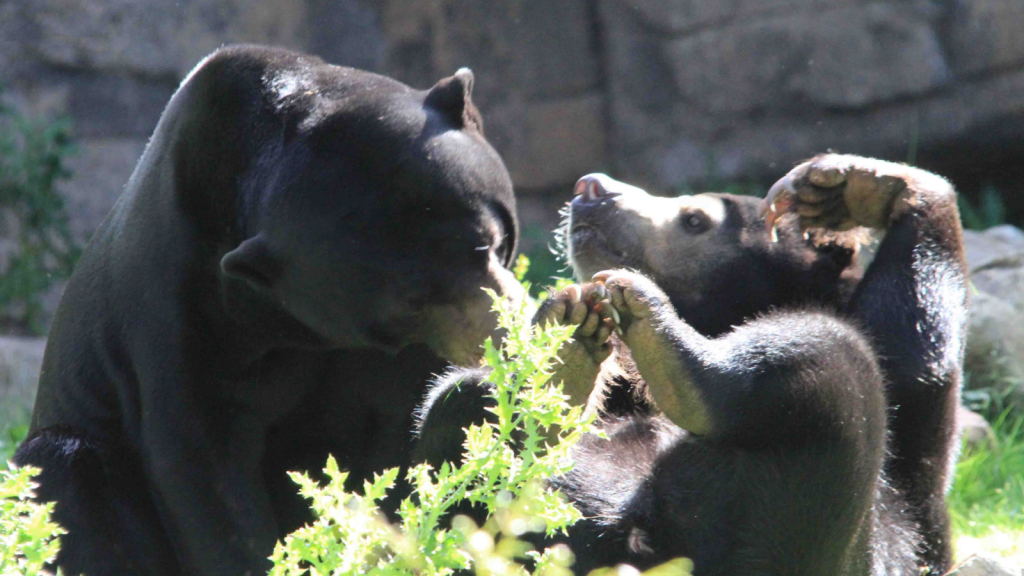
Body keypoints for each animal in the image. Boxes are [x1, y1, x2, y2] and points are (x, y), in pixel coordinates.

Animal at [14, 44, 524, 573]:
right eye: (411, 303)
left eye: (489, 242)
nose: (500, 330)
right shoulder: (180, 306)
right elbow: (200, 462)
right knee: (66, 469)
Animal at [411, 153, 962, 573]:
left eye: (695, 219)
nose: (592, 187)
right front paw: (841, 188)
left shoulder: (905, 502)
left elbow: (913, 343)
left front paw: (858, 184)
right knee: (457, 408)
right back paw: (556, 376)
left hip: (814, 531)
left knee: (830, 364)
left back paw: (669, 358)